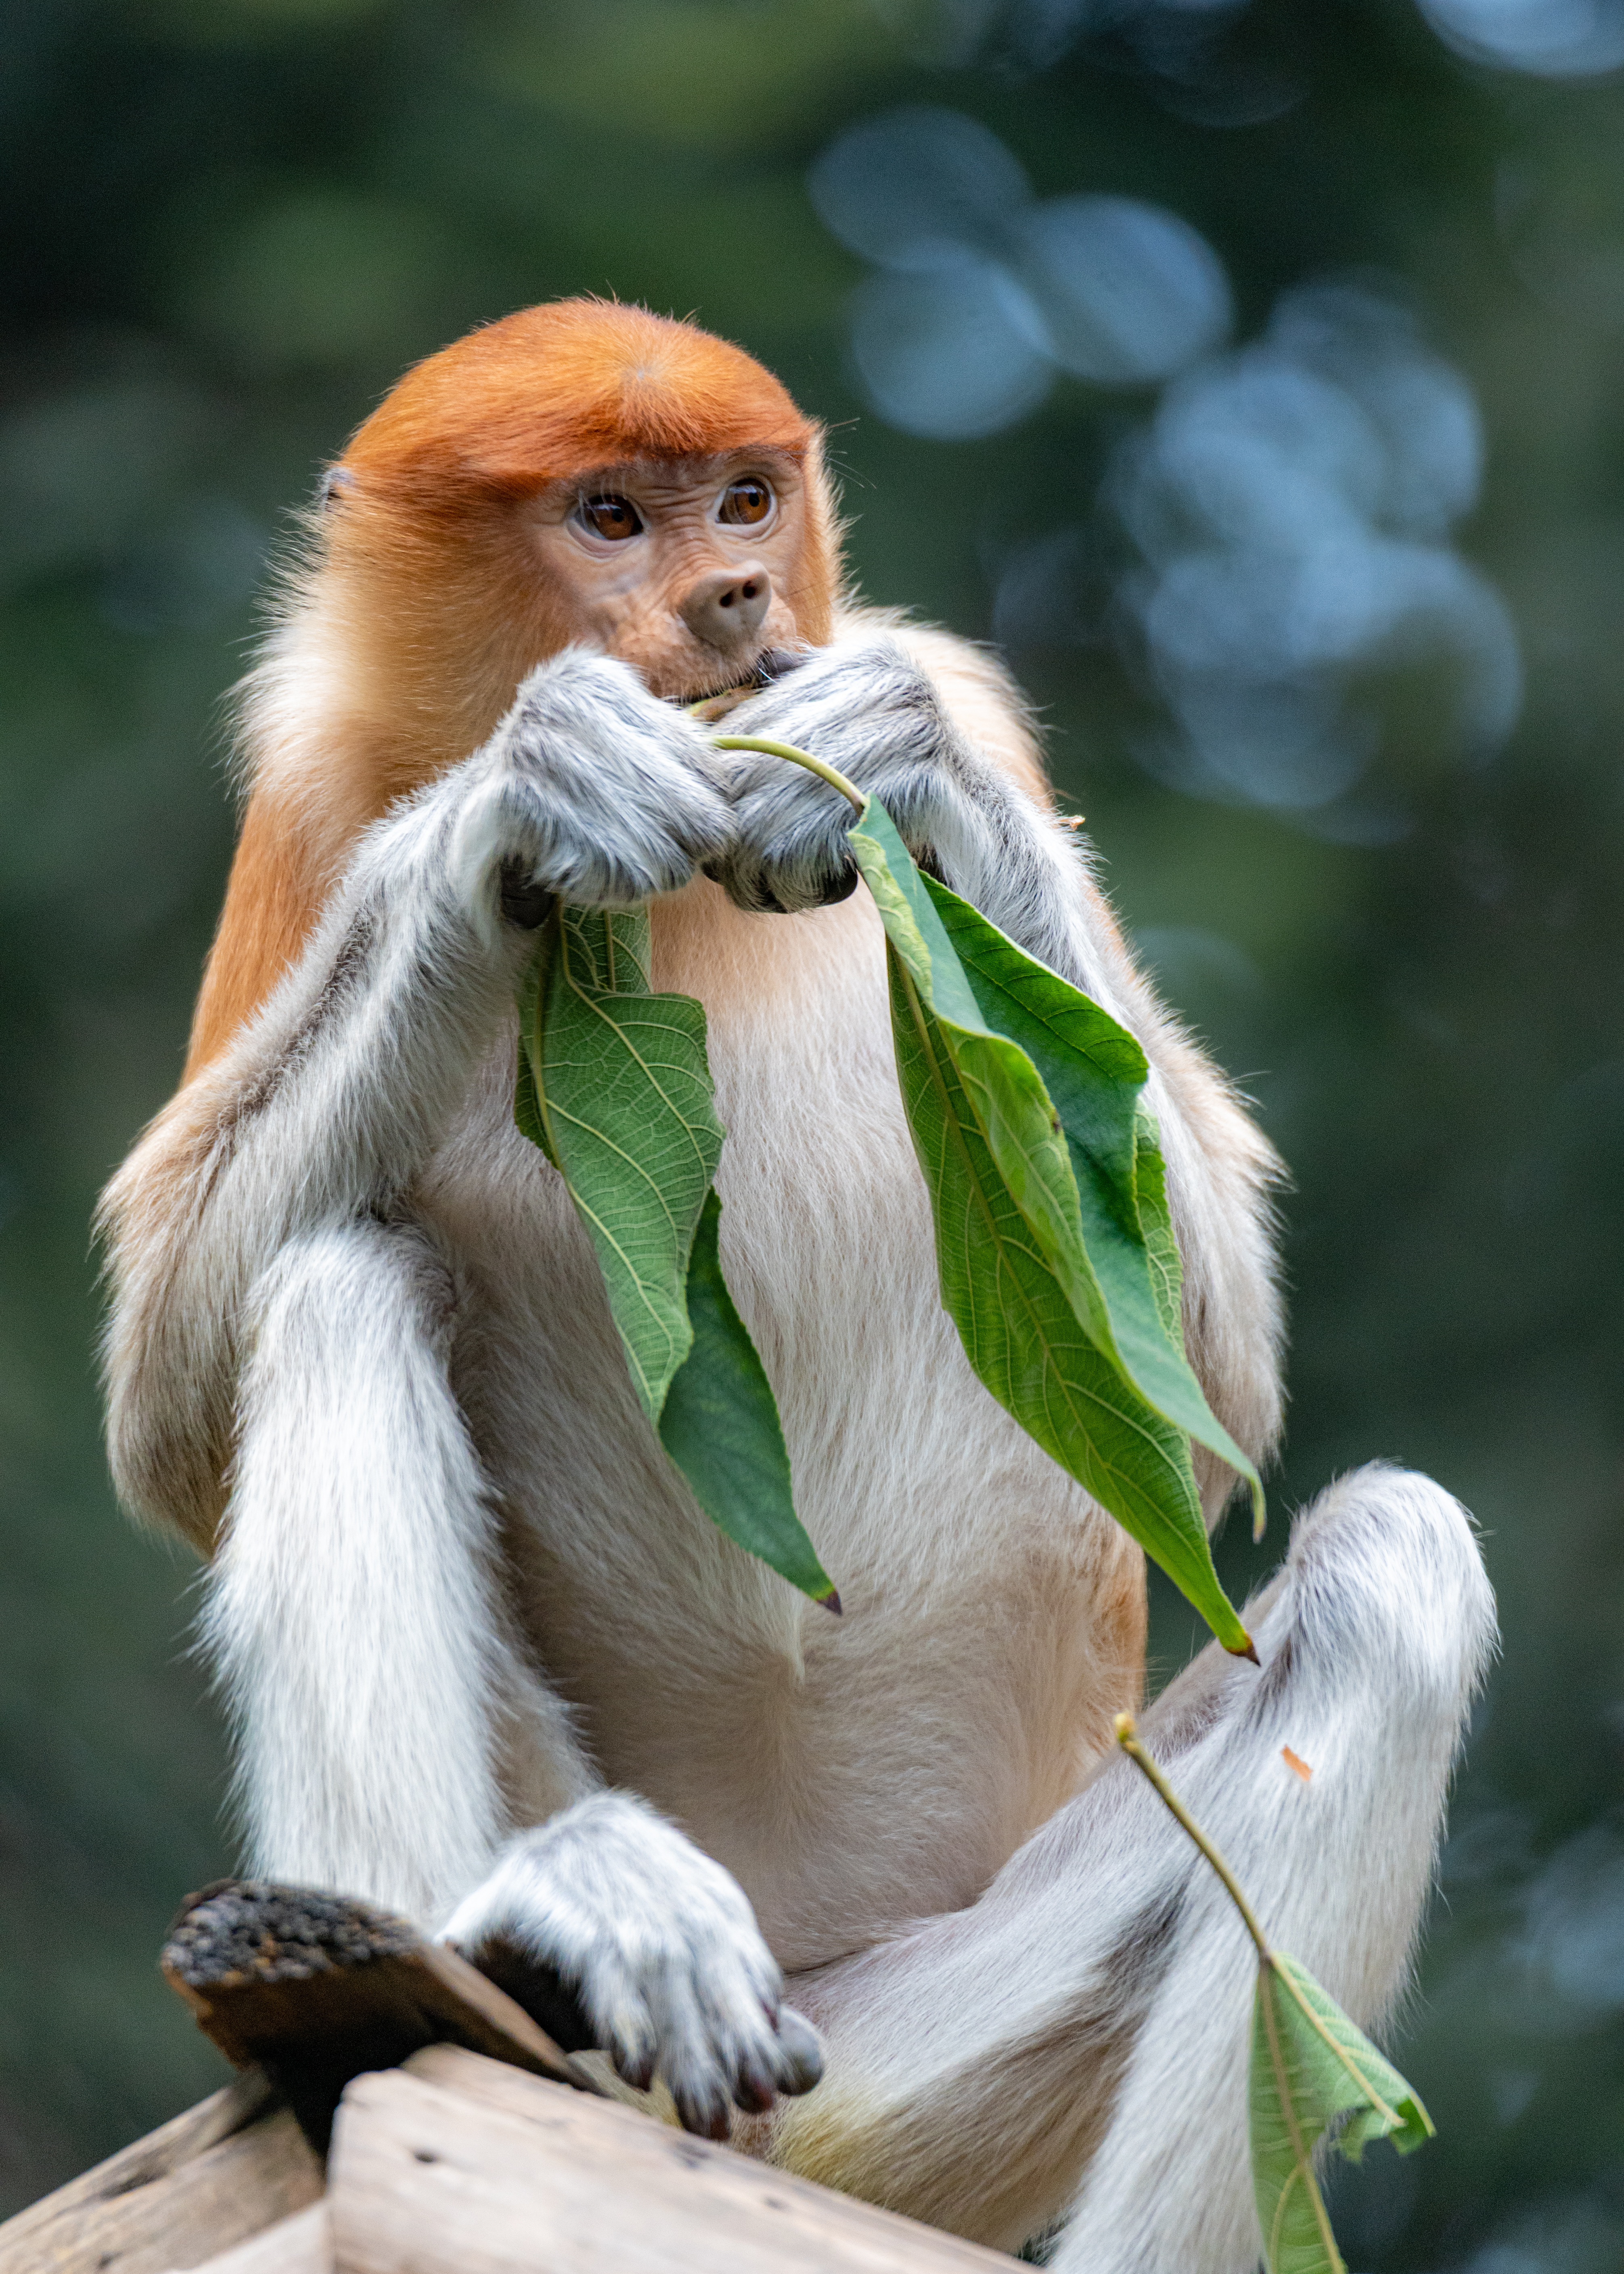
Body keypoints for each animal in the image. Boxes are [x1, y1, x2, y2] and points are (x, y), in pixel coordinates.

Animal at [98, 300, 1495, 2269]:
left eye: (745, 499)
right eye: (611, 516)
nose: (738, 599)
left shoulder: (972, 692)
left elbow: (1203, 1372)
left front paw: (872, 743)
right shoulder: (304, 791)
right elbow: (170, 1404)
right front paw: (534, 793)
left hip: (911, 2054)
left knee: (1389, 1572)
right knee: (337, 1279)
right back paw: (521, 1918)